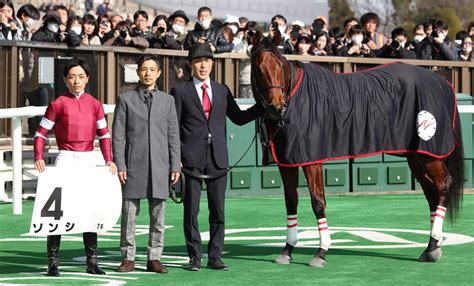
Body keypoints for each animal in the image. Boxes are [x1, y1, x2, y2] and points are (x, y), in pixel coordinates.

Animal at [250, 32, 464, 268]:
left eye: (280, 65)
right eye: (258, 68)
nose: (277, 107)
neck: (298, 97)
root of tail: (443, 83)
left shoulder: (311, 160)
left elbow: (318, 202)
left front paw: (321, 252)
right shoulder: (287, 161)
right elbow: (291, 202)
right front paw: (287, 250)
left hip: (428, 154)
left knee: (443, 185)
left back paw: (434, 246)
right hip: (417, 156)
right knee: (431, 192)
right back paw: (430, 248)